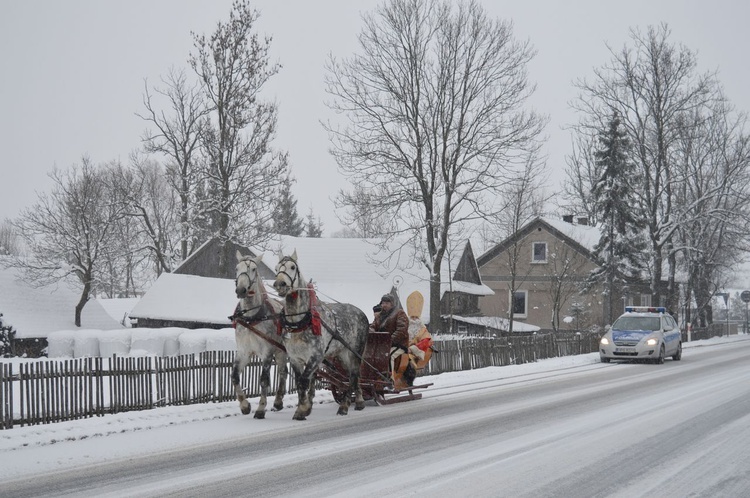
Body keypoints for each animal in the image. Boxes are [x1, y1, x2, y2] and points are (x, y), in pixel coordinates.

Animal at [231, 251, 290, 418]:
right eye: (237, 268)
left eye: (254, 269)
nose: (241, 290)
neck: (251, 318)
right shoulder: (243, 352)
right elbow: (235, 376)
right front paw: (244, 405)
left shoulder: (267, 352)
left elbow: (264, 380)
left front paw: (260, 409)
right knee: (284, 372)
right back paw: (278, 402)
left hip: (282, 351)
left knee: (283, 372)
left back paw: (278, 400)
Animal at [274, 251, 372, 418]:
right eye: (276, 268)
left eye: (293, 267)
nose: (280, 284)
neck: (300, 322)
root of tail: (361, 313)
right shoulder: (295, 358)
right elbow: (300, 382)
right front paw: (303, 408)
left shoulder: (316, 356)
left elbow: (304, 381)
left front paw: (302, 410)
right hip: (342, 355)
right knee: (353, 376)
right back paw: (359, 401)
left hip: (354, 352)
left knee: (352, 376)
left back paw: (344, 406)